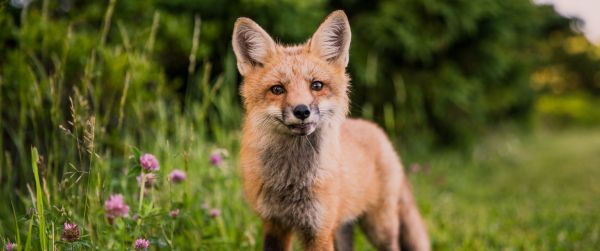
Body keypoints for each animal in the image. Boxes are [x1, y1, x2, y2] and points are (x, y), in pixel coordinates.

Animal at [233, 9, 432, 251]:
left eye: (317, 85)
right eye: (277, 89)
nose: (302, 110)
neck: (292, 181)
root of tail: (376, 129)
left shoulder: (319, 230)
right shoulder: (274, 225)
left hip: (379, 227)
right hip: (343, 228)